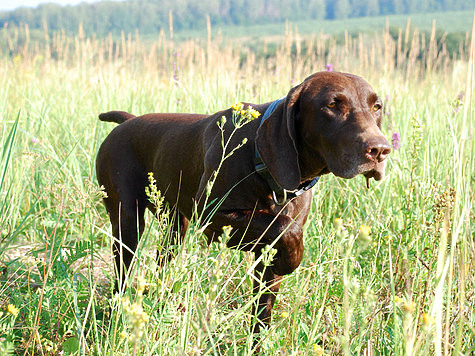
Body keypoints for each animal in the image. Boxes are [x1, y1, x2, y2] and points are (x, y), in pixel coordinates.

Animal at [96, 71, 390, 332]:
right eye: (331, 105)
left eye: (377, 107)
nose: (380, 150)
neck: (261, 161)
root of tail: (128, 121)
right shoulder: (212, 218)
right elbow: (286, 226)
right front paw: (292, 260)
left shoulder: (264, 255)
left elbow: (262, 311)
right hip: (127, 222)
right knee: (122, 273)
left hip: (174, 226)